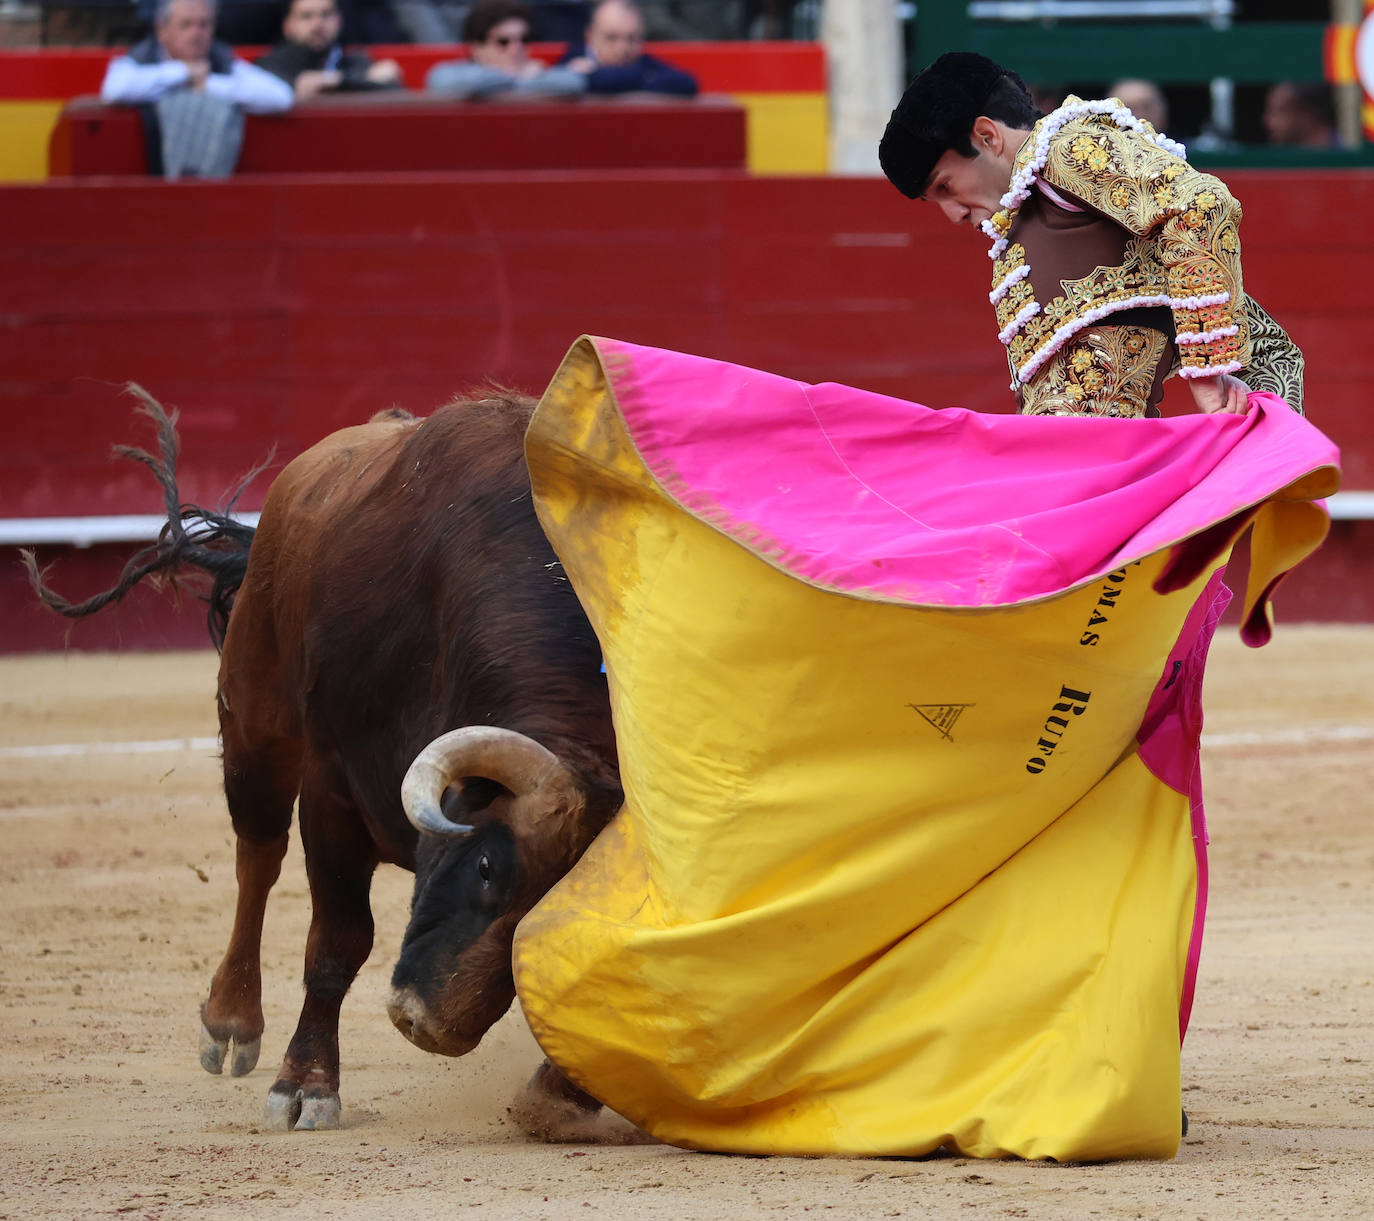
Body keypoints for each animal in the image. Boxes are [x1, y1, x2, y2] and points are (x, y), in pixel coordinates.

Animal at [24, 390, 626, 1131]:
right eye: (487, 865)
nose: (431, 1027)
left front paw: (563, 1090)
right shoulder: (332, 790)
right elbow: (338, 940)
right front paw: (305, 1084)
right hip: (254, 725)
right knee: (257, 855)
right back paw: (231, 1022)